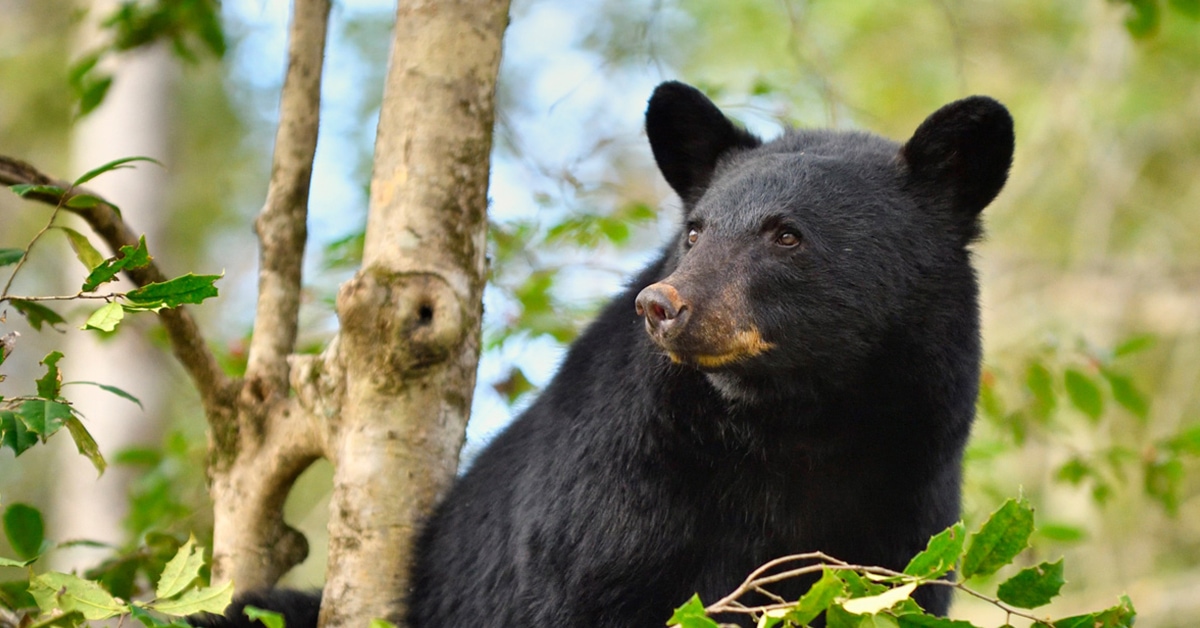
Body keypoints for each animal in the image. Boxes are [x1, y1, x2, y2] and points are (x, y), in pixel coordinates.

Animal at [201, 83, 1008, 628]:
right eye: (695, 231)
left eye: (786, 235)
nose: (663, 305)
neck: (796, 426)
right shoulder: (614, 486)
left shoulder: (906, 504)